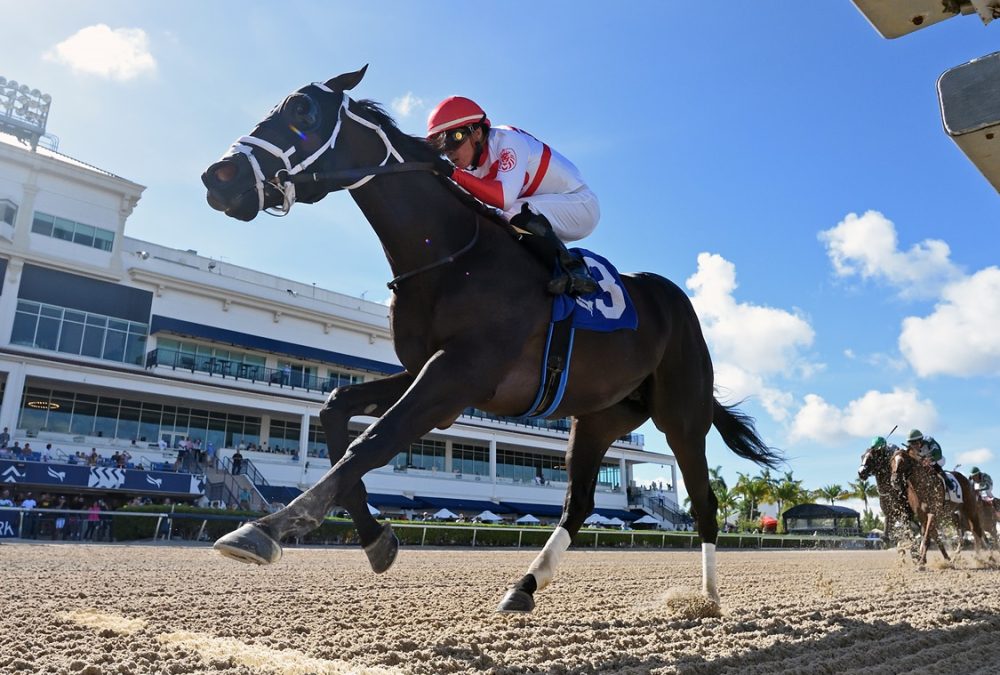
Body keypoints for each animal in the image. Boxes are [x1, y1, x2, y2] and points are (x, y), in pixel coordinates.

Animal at [201, 67, 780, 612]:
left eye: (303, 111)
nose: (217, 176)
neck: (449, 255)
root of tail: (674, 300)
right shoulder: (433, 373)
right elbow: (337, 408)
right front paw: (375, 538)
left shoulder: (459, 375)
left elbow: (375, 439)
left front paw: (266, 527)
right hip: (599, 416)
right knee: (578, 503)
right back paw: (525, 585)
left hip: (681, 414)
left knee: (703, 503)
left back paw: (707, 599)